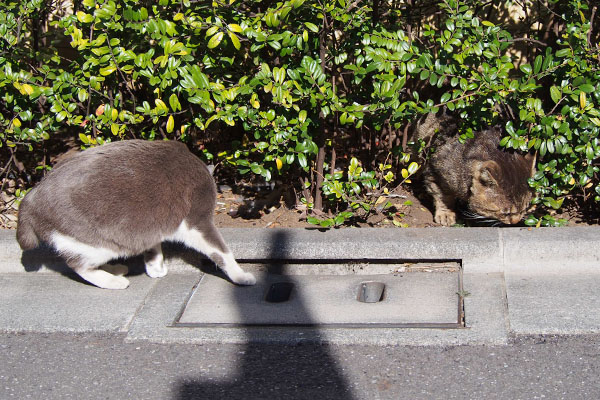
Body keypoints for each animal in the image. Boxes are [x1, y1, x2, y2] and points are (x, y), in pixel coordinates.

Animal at [16, 139, 255, 290]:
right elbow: (221, 252)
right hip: (99, 242)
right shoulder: (196, 221)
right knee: (78, 265)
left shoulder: (153, 225)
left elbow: (154, 246)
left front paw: (155, 267)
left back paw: (116, 269)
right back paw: (114, 281)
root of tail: (29, 199)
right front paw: (241, 276)